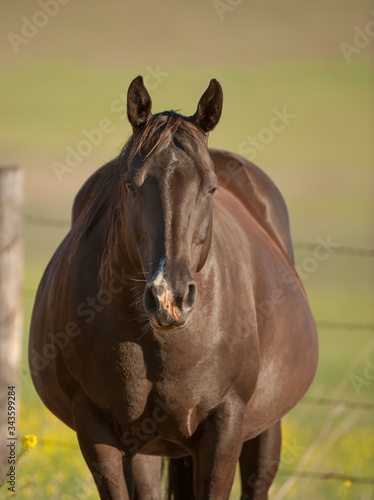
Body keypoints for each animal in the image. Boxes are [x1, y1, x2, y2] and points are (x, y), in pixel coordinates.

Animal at [28, 75, 318, 500]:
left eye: (211, 189)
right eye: (131, 186)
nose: (170, 298)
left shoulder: (224, 426)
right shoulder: (97, 430)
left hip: (264, 429)